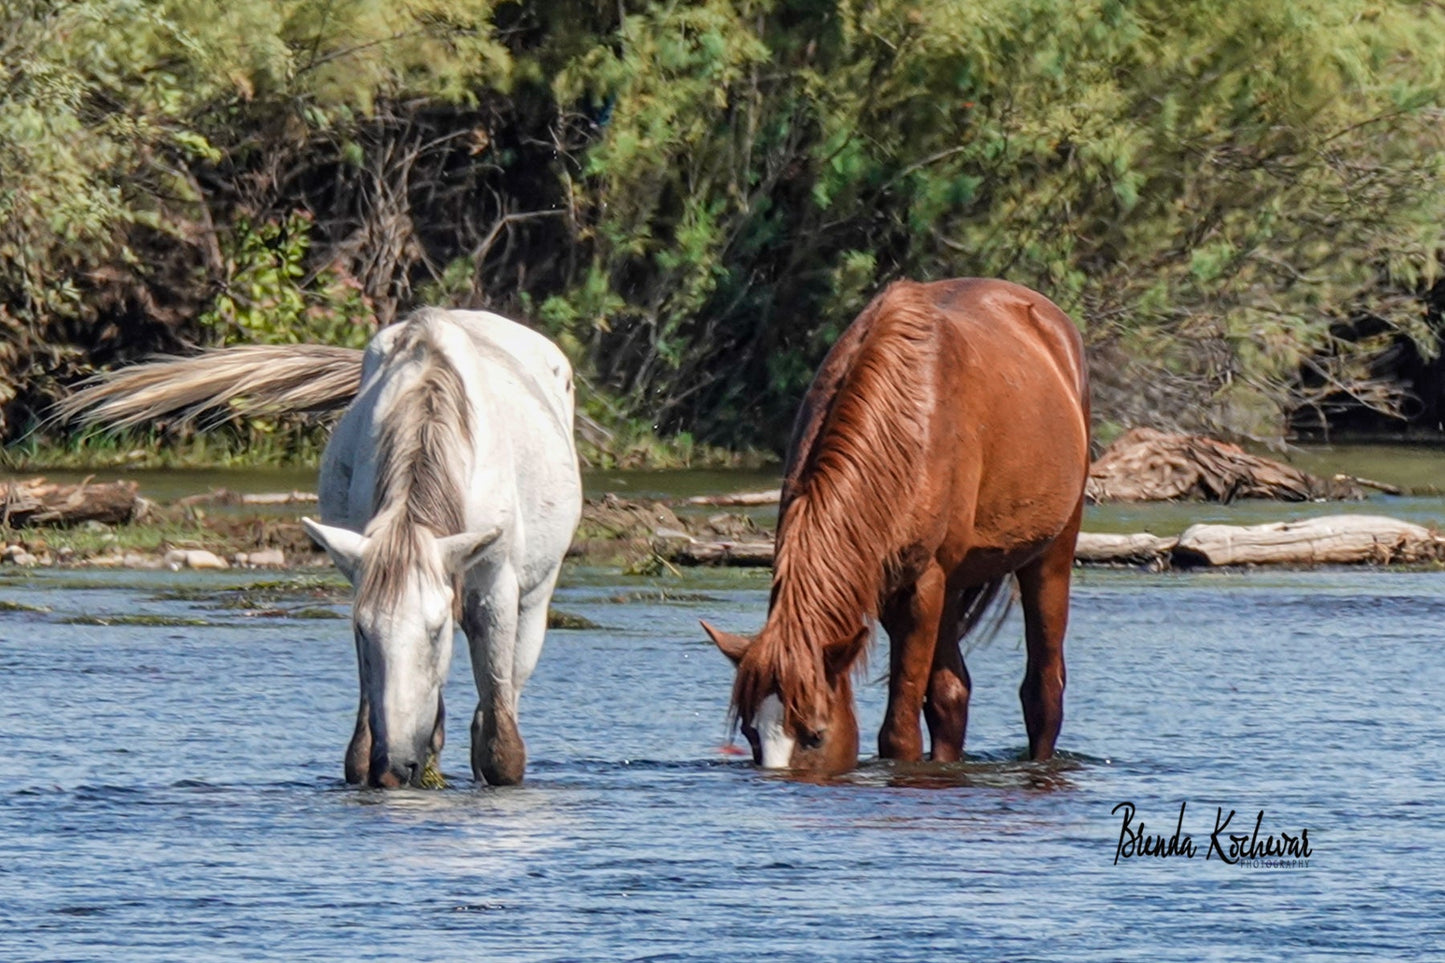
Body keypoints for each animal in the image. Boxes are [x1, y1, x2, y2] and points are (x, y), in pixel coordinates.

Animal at [58, 310, 582, 787]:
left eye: (436, 632)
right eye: (362, 630)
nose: (394, 767)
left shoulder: (492, 588)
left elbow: (499, 741)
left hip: (533, 598)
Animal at [701, 278, 1089, 774]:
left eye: (814, 735)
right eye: (752, 734)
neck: (907, 431)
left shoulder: (922, 586)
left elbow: (899, 731)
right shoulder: (889, 586)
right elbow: (939, 699)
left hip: (1049, 555)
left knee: (1043, 690)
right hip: (954, 583)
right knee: (952, 696)